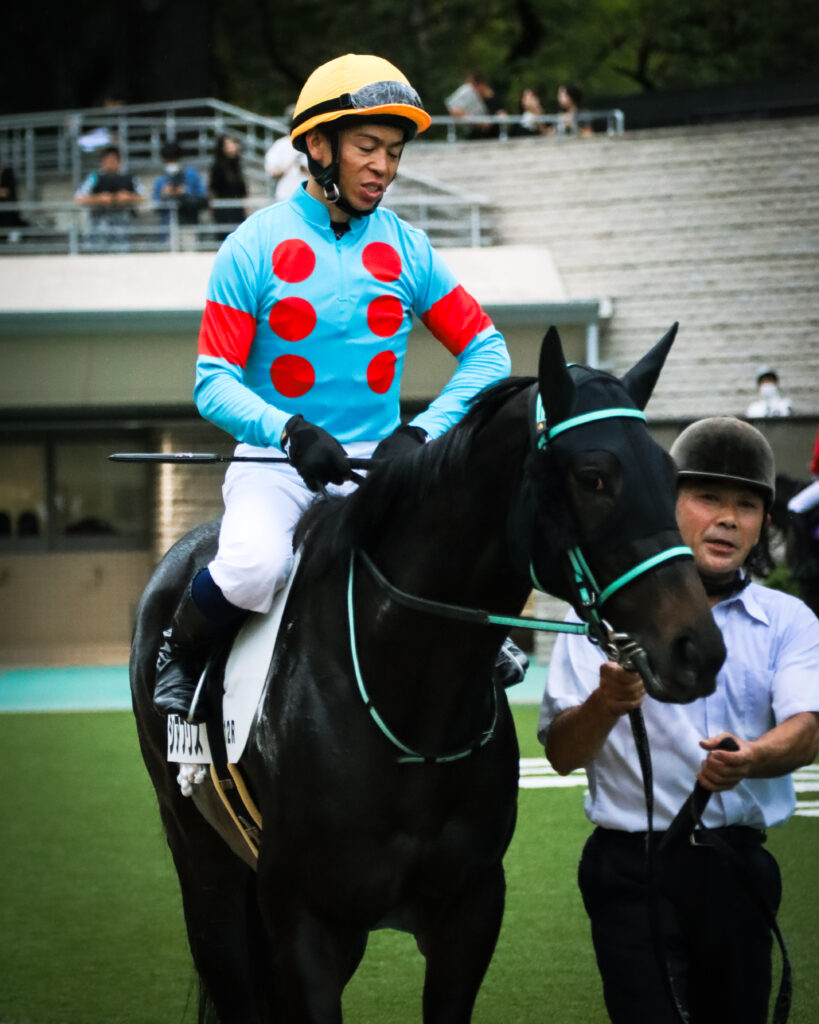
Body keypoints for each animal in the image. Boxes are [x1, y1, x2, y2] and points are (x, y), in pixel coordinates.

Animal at [130, 324, 726, 1023]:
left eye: (670, 474)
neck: (411, 706)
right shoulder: (304, 921)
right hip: (206, 867)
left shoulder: (470, 910)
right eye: (594, 477)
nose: (698, 649)